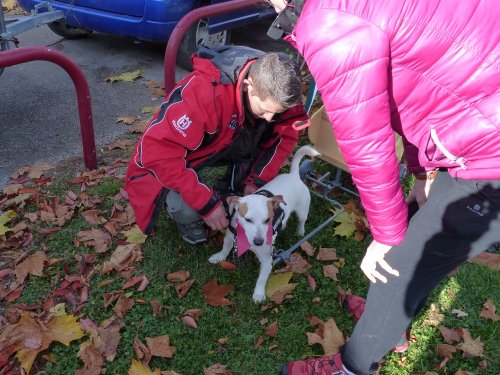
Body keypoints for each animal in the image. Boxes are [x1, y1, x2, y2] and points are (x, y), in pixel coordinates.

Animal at [208, 145, 320, 304]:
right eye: (248, 220)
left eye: (268, 220)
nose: (259, 242)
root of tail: (293, 175)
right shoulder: (230, 236)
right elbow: (226, 247)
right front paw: (219, 257)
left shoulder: (267, 260)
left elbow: (261, 279)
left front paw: (259, 294)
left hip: (302, 210)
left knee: (302, 220)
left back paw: (300, 231)